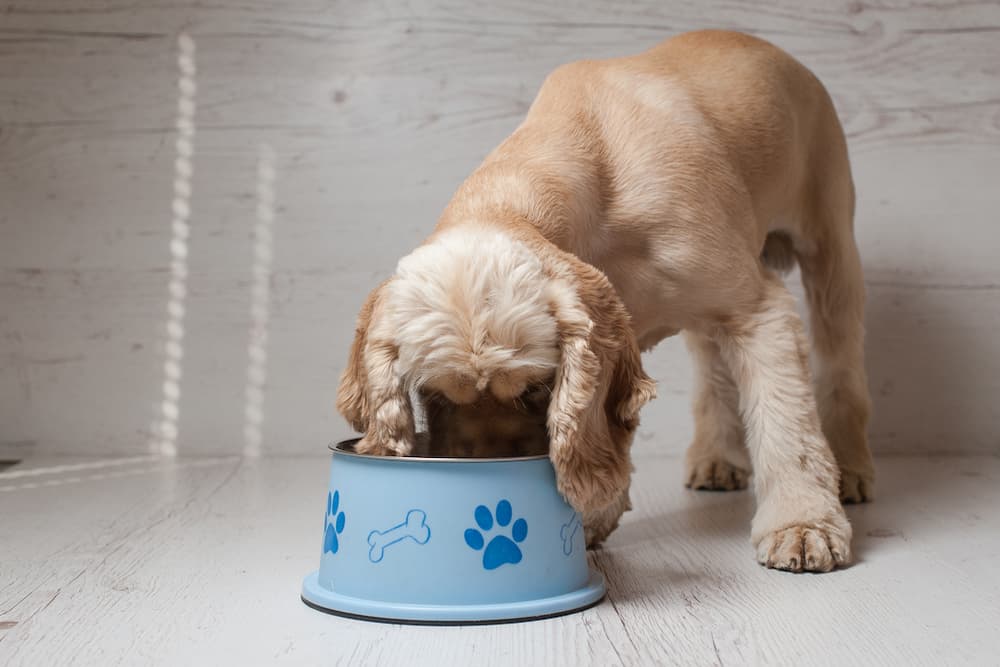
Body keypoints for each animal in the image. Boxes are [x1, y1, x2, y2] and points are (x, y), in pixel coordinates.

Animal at [336, 31, 876, 576]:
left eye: (535, 391)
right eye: (436, 396)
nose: (488, 469)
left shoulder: (757, 309)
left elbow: (787, 424)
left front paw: (803, 524)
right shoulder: (623, 335)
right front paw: (592, 519)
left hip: (831, 245)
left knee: (841, 360)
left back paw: (850, 469)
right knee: (712, 366)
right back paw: (716, 458)